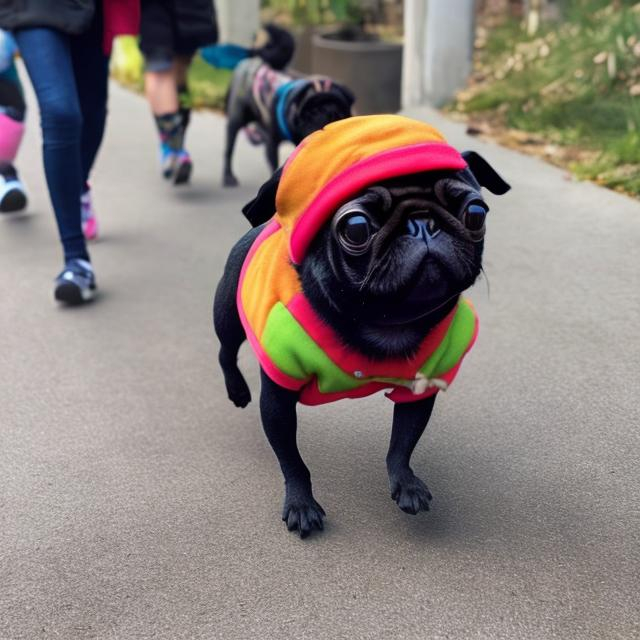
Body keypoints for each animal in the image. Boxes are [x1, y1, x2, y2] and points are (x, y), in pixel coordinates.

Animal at [222, 25, 356, 185]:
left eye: (341, 111)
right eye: (311, 111)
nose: (328, 114)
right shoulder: (272, 143)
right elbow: (275, 163)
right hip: (236, 120)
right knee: (229, 149)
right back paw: (228, 176)